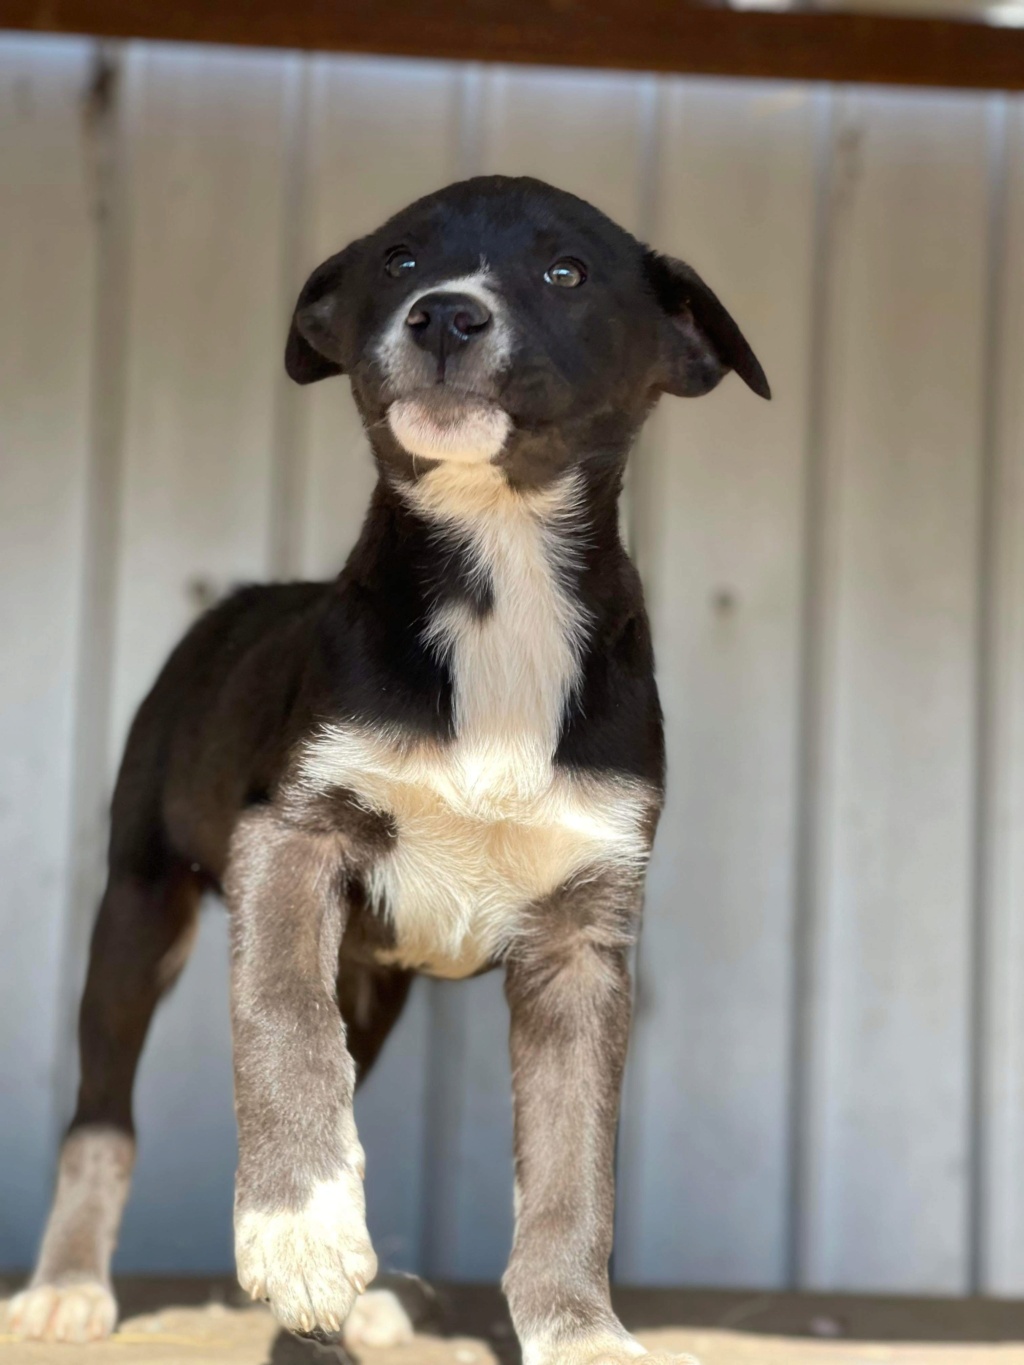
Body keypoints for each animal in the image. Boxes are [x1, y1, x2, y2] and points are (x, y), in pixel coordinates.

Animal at [10, 176, 770, 1359]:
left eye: (566, 271)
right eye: (401, 261)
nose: (447, 315)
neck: (501, 573)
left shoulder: (583, 934)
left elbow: (575, 1166)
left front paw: (577, 1326)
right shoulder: (287, 835)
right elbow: (280, 1027)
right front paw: (298, 1234)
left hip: (368, 977)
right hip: (139, 903)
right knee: (103, 1106)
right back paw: (72, 1280)